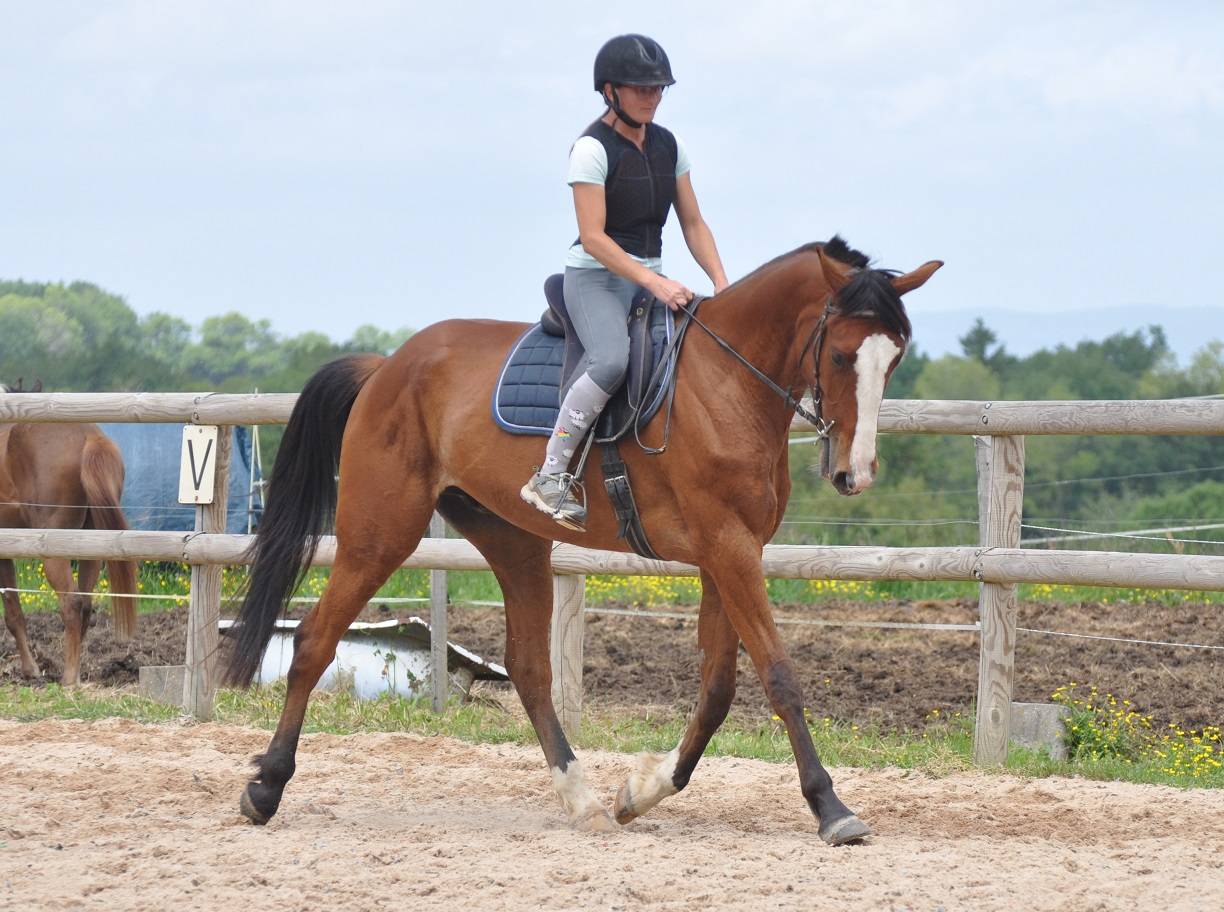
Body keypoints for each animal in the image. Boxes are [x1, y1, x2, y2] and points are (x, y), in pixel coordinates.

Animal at [0, 382, 138, 685]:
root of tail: (88, 436)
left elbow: (12, 610)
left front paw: (30, 670)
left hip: (53, 549)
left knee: (72, 603)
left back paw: (68, 679)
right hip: (90, 546)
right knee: (85, 603)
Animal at [224, 237, 941, 844]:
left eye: (895, 359)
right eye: (842, 355)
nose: (854, 474)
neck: (727, 383)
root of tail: (386, 368)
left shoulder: (729, 554)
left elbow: (716, 688)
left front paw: (642, 792)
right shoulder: (728, 548)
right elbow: (779, 675)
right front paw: (831, 807)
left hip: (513, 543)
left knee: (529, 669)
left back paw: (584, 799)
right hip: (380, 535)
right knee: (315, 639)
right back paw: (265, 789)